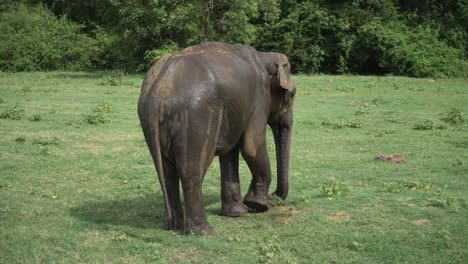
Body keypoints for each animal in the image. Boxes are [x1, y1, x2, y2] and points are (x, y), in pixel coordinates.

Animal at [137, 41, 296, 235]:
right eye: (292, 94)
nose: (274, 197)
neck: (265, 56)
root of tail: (158, 90)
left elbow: (230, 151)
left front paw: (238, 212)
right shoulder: (259, 99)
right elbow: (252, 146)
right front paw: (257, 205)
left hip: (148, 119)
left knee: (167, 173)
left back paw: (174, 227)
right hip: (195, 118)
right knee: (192, 170)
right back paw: (203, 231)